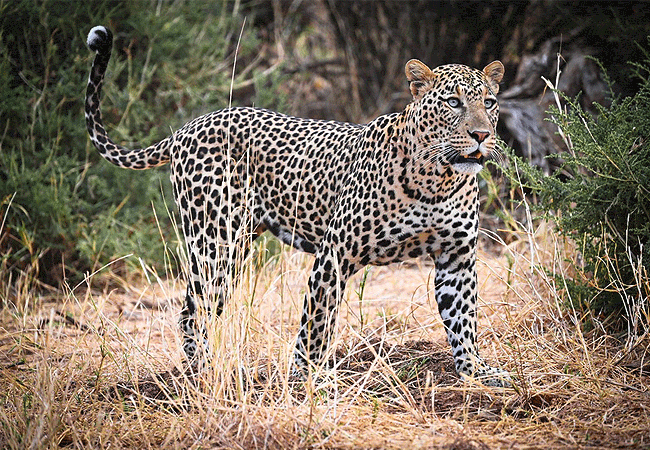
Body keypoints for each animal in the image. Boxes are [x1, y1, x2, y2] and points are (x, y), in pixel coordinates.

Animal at [85, 25, 510, 387]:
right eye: (453, 102)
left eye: (489, 102)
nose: (481, 135)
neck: (438, 179)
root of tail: (187, 128)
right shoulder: (335, 253)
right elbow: (318, 322)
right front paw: (310, 377)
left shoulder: (456, 258)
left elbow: (463, 319)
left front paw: (476, 370)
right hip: (215, 241)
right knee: (193, 310)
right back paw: (205, 372)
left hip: (237, 243)